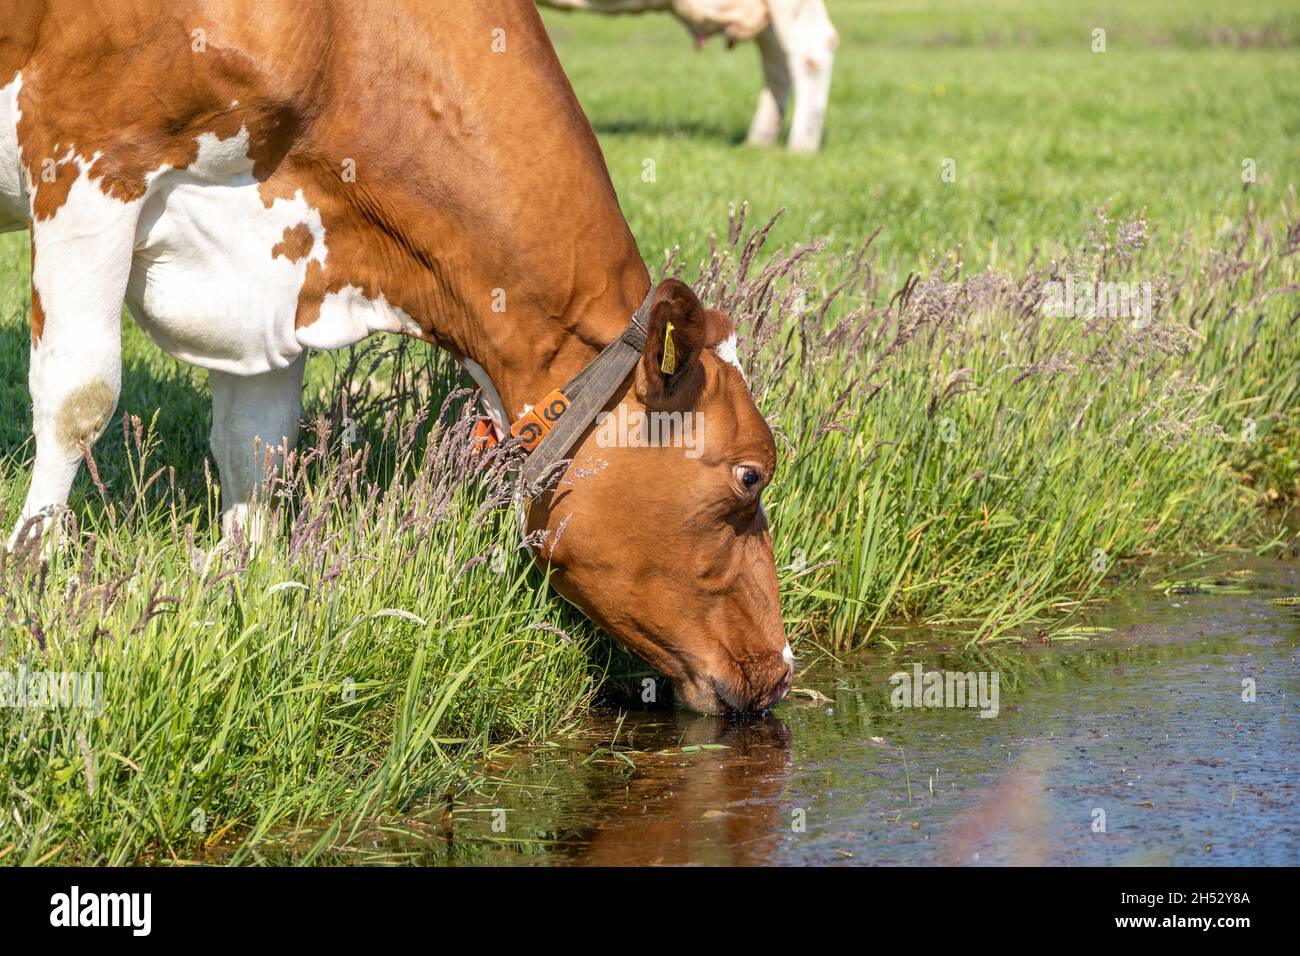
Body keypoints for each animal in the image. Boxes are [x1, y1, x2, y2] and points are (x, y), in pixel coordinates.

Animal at [0, 0, 793, 714]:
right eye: (750, 476)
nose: (781, 670)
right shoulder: (88, 153)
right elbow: (81, 398)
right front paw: (30, 570)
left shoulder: (276, 271)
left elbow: (257, 443)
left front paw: (245, 586)